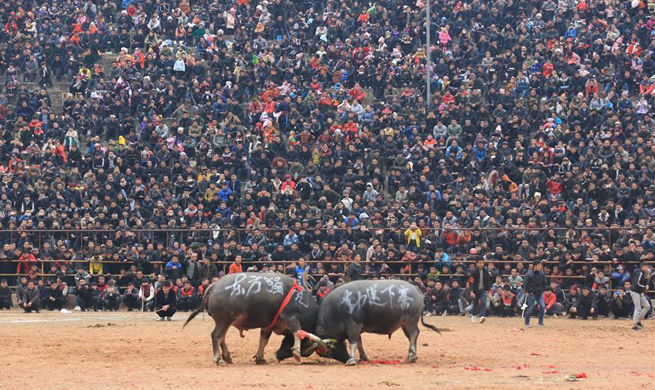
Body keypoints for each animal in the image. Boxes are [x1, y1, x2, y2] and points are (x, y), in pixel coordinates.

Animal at [183, 272, 322, 366]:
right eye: (305, 350)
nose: (278, 355)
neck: (302, 299)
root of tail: (215, 285)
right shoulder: (291, 318)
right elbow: (297, 332)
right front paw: (296, 353)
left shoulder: (268, 326)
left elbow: (263, 340)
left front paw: (260, 358)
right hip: (225, 320)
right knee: (216, 336)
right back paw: (218, 359)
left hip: (224, 321)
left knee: (222, 337)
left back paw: (227, 356)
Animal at [304, 280, 438, 366]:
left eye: (329, 352)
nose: (344, 358)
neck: (337, 309)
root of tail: (415, 289)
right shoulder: (357, 328)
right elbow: (359, 343)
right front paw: (363, 358)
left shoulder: (353, 325)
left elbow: (353, 343)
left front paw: (352, 359)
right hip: (404, 324)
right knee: (411, 336)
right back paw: (414, 356)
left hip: (411, 321)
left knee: (414, 334)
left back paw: (411, 356)